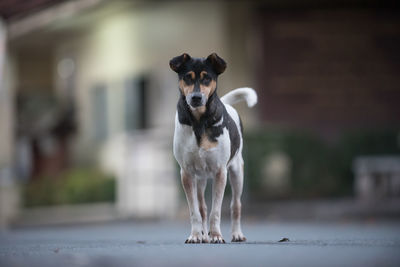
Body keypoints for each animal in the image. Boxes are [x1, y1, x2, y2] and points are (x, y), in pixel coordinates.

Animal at [168, 52, 256, 245]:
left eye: (207, 78)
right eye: (187, 77)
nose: (196, 97)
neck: (199, 121)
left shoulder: (220, 172)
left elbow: (216, 211)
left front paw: (216, 235)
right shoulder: (187, 173)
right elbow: (195, 211)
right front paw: (196, 235)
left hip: (237, 172)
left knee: (236, 205)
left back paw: (236, 234)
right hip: (200, 179)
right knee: (202, 207)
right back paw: (203, 235)